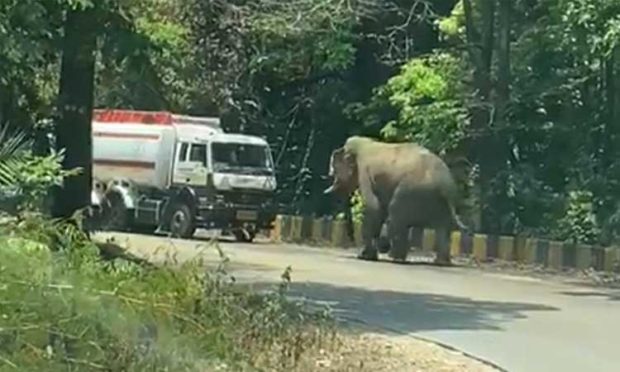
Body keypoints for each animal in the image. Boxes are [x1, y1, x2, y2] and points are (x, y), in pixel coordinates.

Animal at [324, 137, 470, 264]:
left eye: (334, 172)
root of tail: (445, 185)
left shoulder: (364, 172)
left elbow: (374, 207)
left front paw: (364, 257)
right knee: (442, 228)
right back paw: (440, 262)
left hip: (412, 191)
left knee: (396, 216)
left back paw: (395, 257)